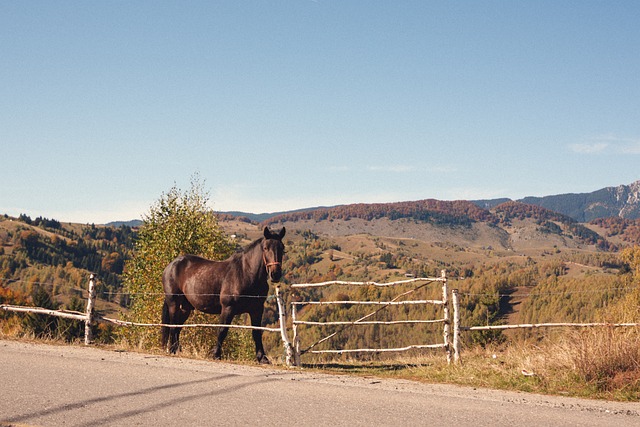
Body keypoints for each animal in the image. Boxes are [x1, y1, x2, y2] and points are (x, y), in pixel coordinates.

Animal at [161, 227, 286, 364]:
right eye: (265, 248)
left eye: (282, 248)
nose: (275, 274)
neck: (245, 273)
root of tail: (171, 265)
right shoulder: (228, 308)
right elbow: (222, 330)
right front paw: (216, 354)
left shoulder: (257, 310)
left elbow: (257, 332)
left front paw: (262, 358)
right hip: (174, 303)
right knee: (173, 326)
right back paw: (172, 349)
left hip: (185, 308)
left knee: (178, 327)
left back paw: (177, 349)